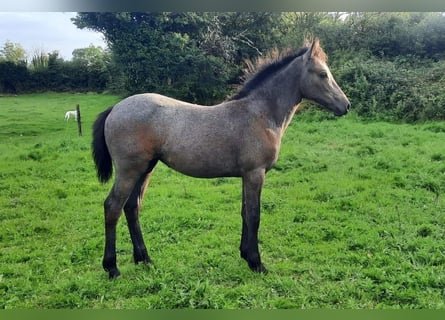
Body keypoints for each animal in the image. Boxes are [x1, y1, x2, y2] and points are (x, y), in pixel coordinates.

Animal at [93, 38, 350, 278]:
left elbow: (245, 213)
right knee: (113, 207)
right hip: (129, 170)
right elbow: (254, 215)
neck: (260, 114)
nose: (345, 105)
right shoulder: (255, 173)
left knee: (132, 207)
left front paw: (245, 255)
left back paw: (144, 258)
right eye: (323, 74)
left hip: (146, 169)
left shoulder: (247, 175)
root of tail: (115, 108)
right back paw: (112, 267)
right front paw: (257, 263)